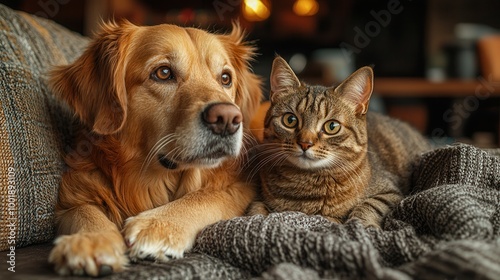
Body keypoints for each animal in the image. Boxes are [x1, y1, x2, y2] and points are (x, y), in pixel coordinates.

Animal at [47, 20, 262, 276]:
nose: (228, 118)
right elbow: (82, 210)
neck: (151, 181)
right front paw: (91, 240)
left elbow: (207, 196)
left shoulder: (240, 185)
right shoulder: (72, 193)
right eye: (163, 73)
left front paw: (158, 226)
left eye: (226, 78)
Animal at [248, 57, 432, 228]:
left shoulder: (391, 192)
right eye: (290, 120)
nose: (305, 143)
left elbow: (369, 205)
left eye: (332, 126)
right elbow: (255, 209)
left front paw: (362, 224)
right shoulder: (259, 199)